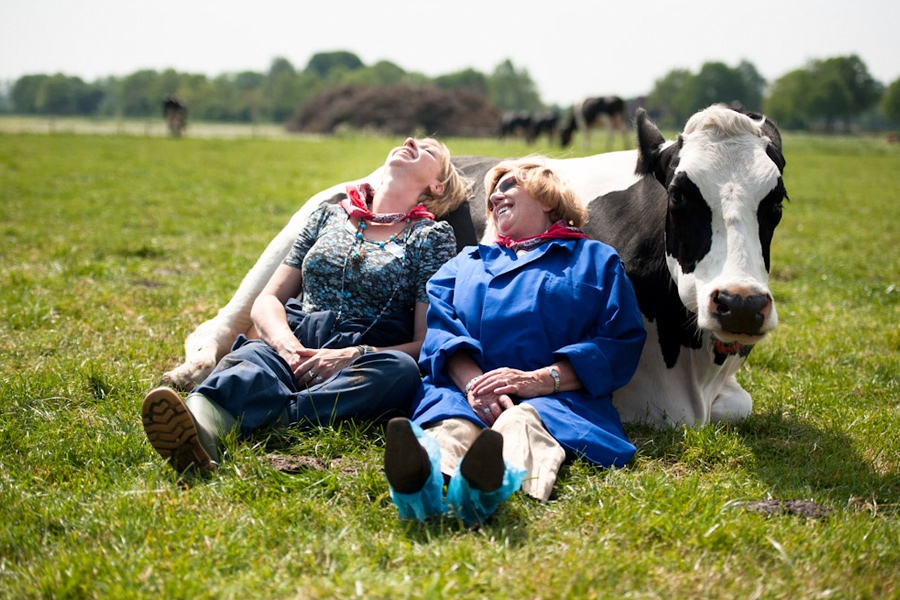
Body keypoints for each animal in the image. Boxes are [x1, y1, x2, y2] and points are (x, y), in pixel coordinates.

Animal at [163, 105, 788, 428]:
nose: (740, 303)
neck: (691, 366)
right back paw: (187, 375)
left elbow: (741, 405)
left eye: (777, 201)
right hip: (287, 239)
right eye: (681, 195)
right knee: (223, 325)